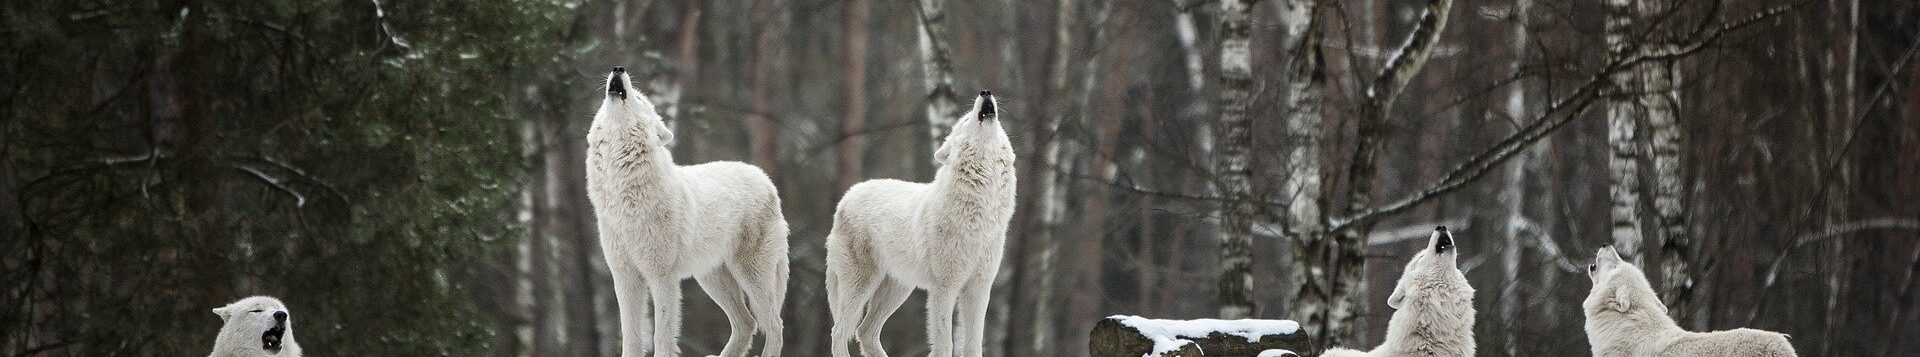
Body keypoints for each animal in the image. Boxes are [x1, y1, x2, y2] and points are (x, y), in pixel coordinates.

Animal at [587, 65, 791, 355]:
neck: (624, 197)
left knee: (774, 325)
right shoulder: (625, 276)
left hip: (752, 276)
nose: (618, 68)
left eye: (639, 99)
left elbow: (662, 335)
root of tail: (766, 180)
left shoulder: (662, 276)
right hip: (711, 278)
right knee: (747, 323)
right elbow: (631, 337)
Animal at [821, 90, 1013, 357]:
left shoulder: (979, 287)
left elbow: (974, 344)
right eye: (965, 120)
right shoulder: (944, 288)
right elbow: (944, 342)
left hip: (898, 289)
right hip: (861, 285)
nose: (985, 92)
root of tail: (846, 198)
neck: (980, 214)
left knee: (865, 331)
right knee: (839, 332)